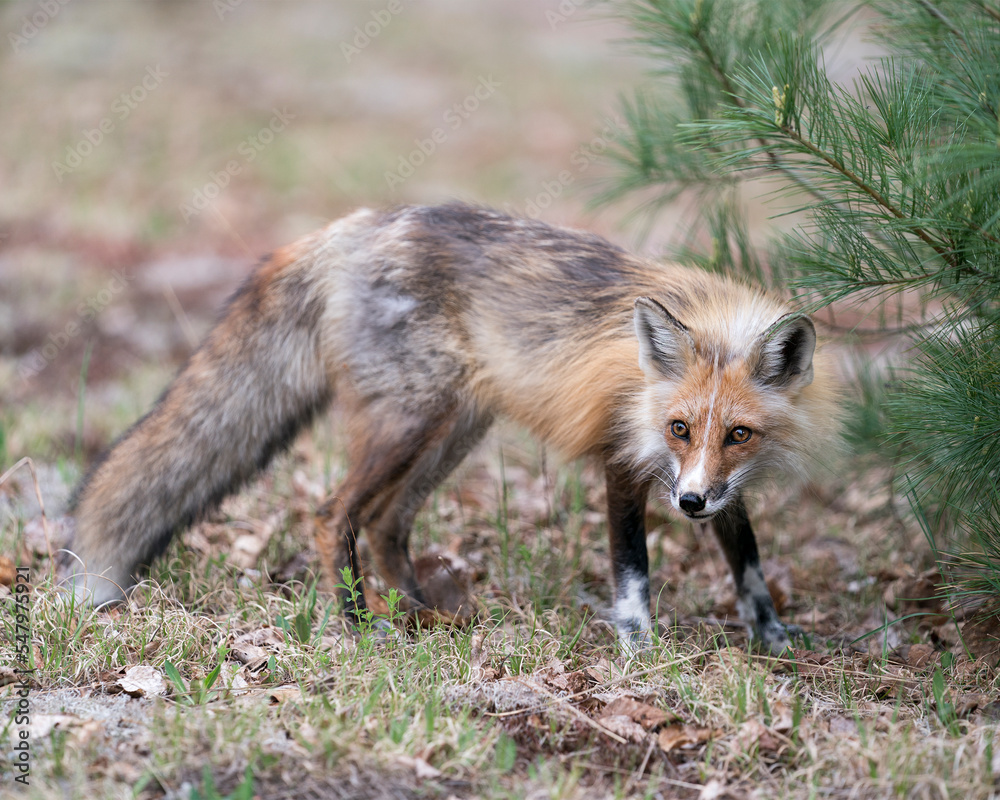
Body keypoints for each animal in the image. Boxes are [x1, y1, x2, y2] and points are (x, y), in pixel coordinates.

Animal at [67, 203, 839, 653]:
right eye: (679, 426)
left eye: (738, 434)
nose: (687, 505)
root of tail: (349, 227)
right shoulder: (625, 458)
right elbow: (633, 573)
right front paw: (638, 649)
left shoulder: (724, 487)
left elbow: (750, 567)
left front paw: (773, 637)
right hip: (411, 422)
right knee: (331, 514)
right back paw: (359, 626)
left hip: (451, 432)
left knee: (386, 526)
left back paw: (422, 616)